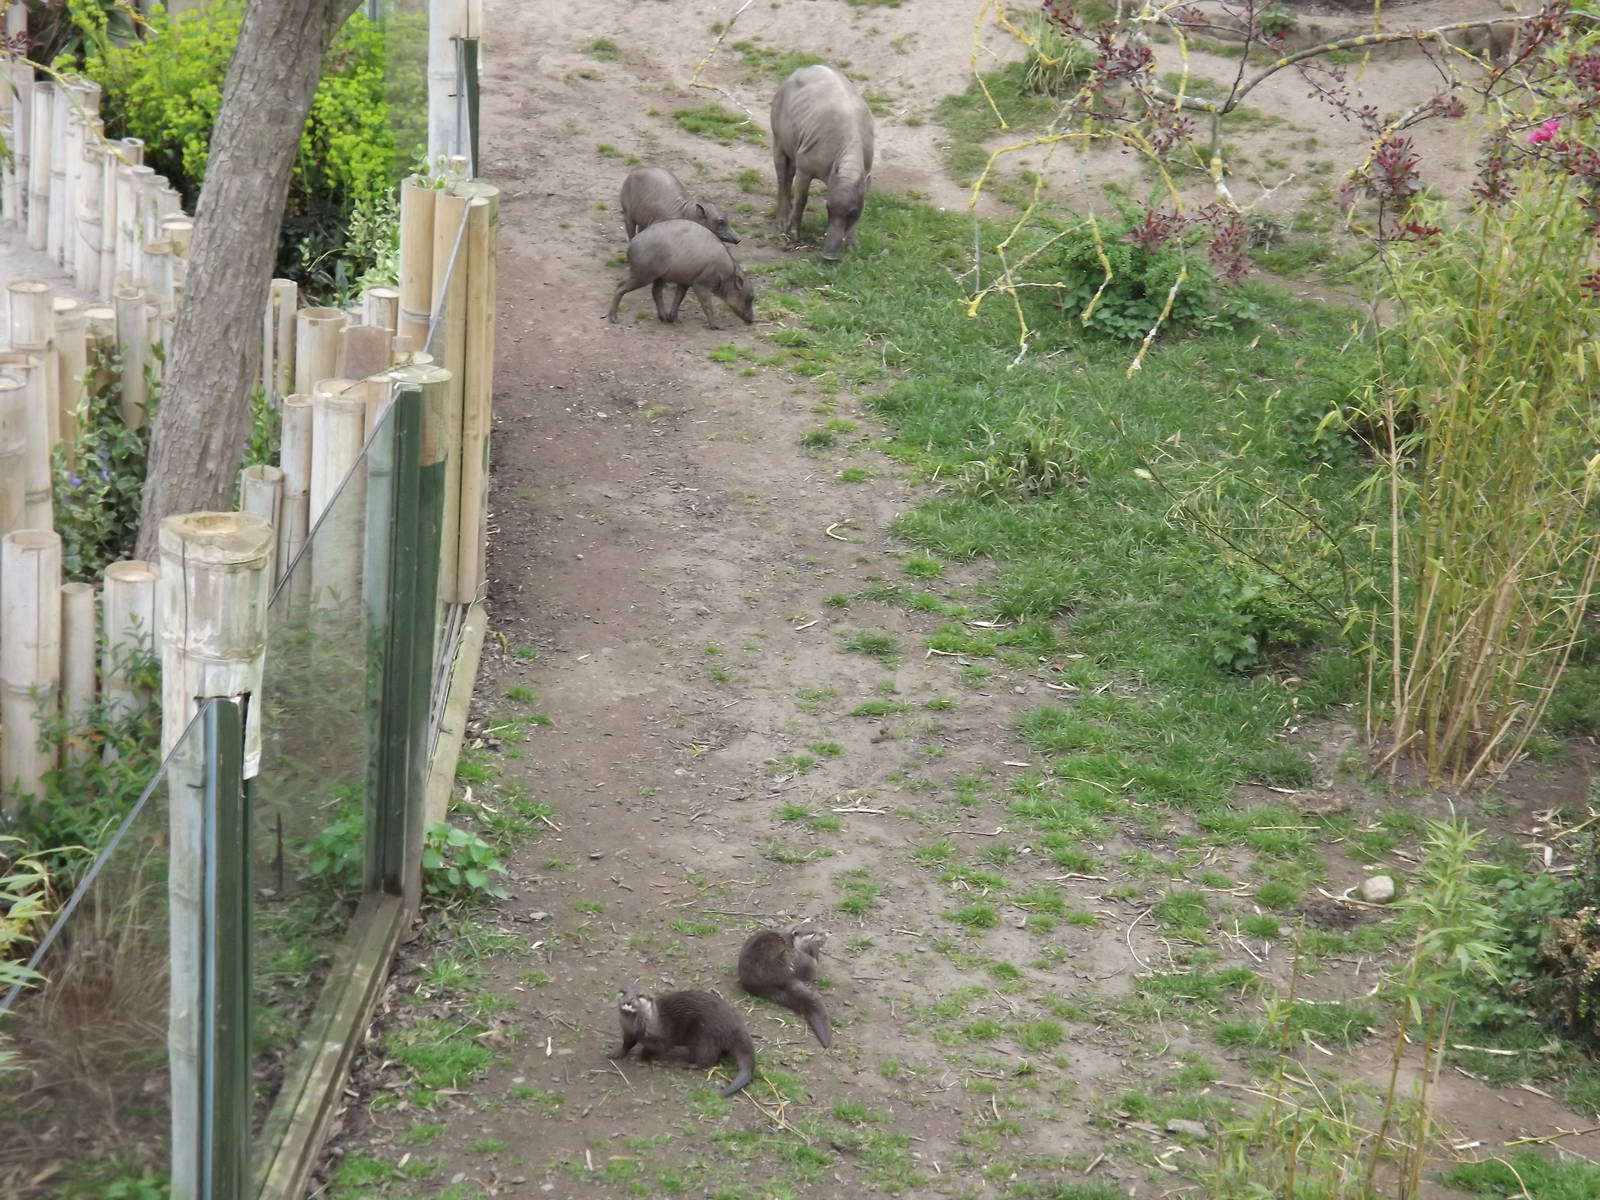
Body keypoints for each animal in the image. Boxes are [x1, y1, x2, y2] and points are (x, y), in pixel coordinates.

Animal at [609, 987, 756, 1097]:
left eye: (640, 995)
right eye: (624, 992)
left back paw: (686, 1064)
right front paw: (617, 1053)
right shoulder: (628, 1033)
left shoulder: (659, 1039)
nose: (629, 1000)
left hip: (704, 1038)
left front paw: (644, 1057)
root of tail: (734, 1025)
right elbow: (627, 1044)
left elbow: (654, 1049)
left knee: (708, 1060)